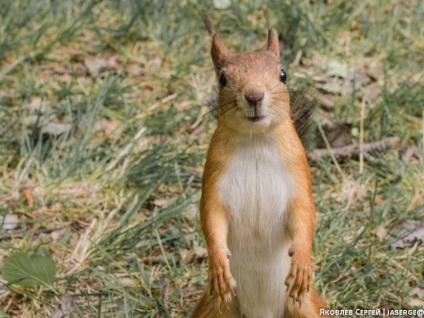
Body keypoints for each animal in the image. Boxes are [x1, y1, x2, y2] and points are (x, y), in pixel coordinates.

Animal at [192, 17, 328, 318]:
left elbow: (305, 214)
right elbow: (211, 217)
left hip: (305, 306)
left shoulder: (299, 175)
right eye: (222, 79)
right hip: (215, 308)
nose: (254, 96)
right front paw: (218, 265)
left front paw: (302, 262)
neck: (256, 141)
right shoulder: (214, 177)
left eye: (283, 75)